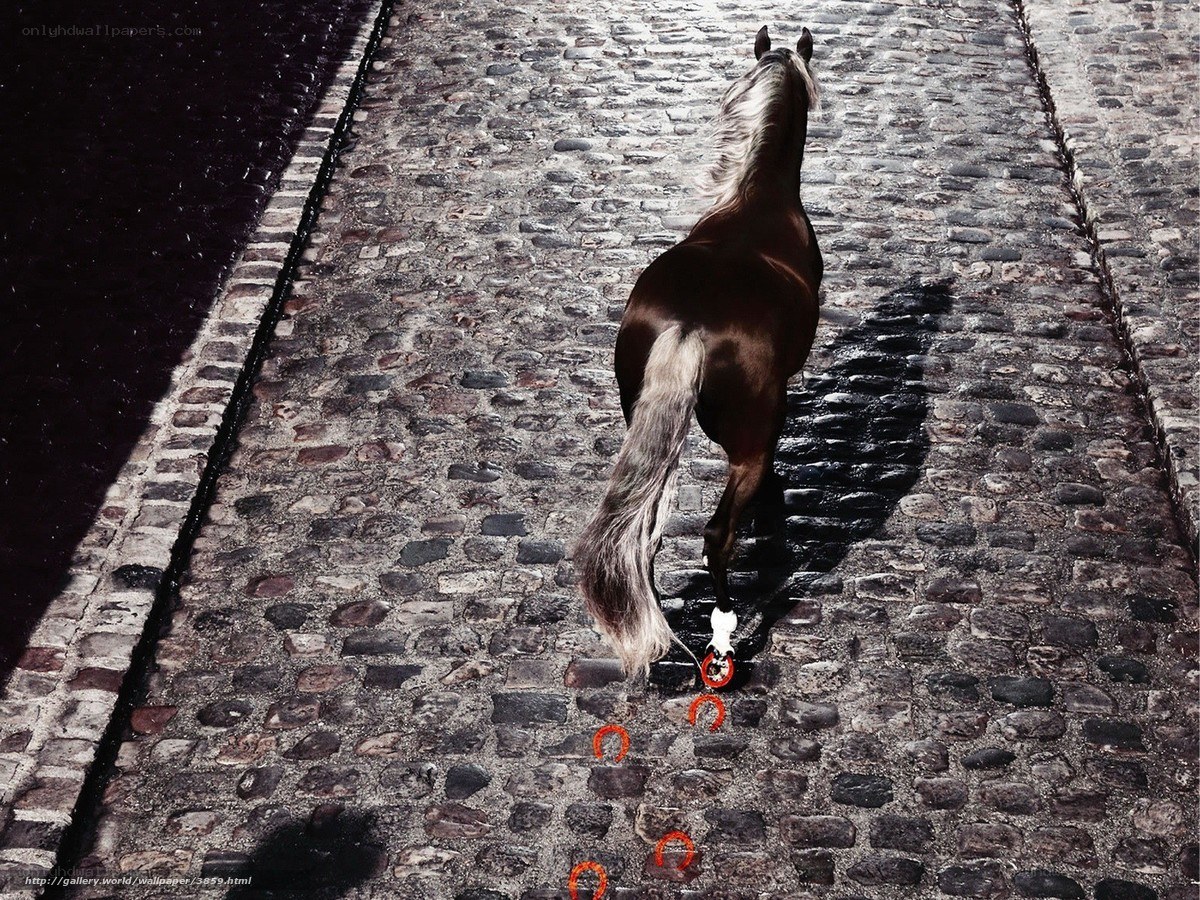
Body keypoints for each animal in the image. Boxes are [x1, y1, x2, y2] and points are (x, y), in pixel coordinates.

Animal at [575, 26, 823, 684]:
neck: (757, 198)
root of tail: (690, 323)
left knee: (644, 534)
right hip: (746, 446)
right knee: (717, 536)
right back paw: (726, 637)